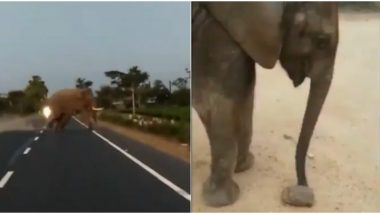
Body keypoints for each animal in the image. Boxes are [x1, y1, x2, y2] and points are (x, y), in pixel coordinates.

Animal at [193, 2, 338, 207]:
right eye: (321, 41)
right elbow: (213, 102)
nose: (300, 192)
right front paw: (221, 202)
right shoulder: (213, 34)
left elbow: (245, 92)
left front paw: (243, 167)